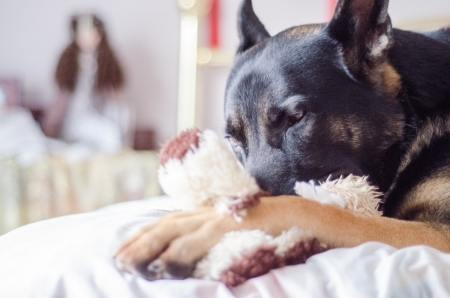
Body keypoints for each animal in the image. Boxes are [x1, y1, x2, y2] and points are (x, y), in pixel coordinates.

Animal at [115, 0, 450, 280]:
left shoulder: (437, 235)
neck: (413, 110)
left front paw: (199, 222)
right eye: (232, 139)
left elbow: (311, 208)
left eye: (296, 117)